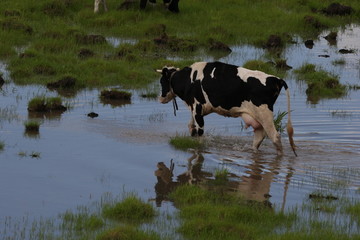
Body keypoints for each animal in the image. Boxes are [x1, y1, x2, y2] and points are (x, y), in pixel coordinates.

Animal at [157, 61, 296, 156]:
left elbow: (200, 132)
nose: (160, 98)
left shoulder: (198, 107)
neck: (189, 79)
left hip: (264, 113)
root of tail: (276, 79)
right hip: (257, 117)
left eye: (161, 81)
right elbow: (191, 127)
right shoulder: (196, 108)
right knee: (259, 137)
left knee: (275, 137)